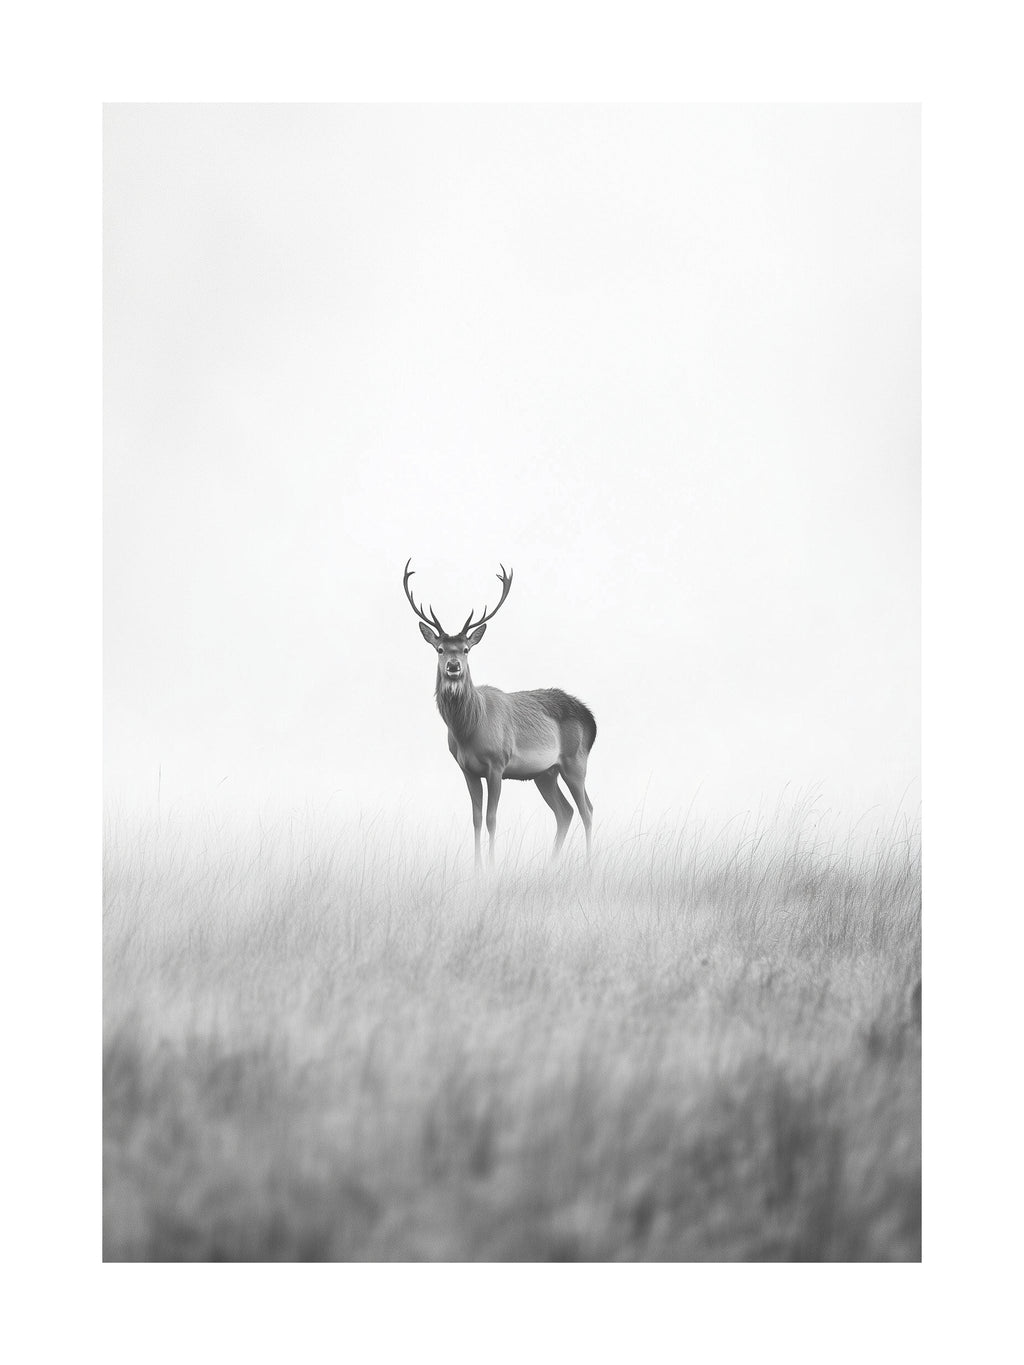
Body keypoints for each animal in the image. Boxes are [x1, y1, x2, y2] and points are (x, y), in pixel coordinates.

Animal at [403, 559, 597, 867]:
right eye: (440, 649)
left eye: (466, 649)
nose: (454, 666)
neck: (469, 730)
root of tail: (591, 719)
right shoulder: (466, 769)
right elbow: (475, 819)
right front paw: (477, 866)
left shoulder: (497, 764)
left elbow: (492, 819)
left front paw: (492, 866)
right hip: (545, 773)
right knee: (565, 812)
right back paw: (551, 864)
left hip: (575, 761)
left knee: (587, 809)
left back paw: (589, 865)